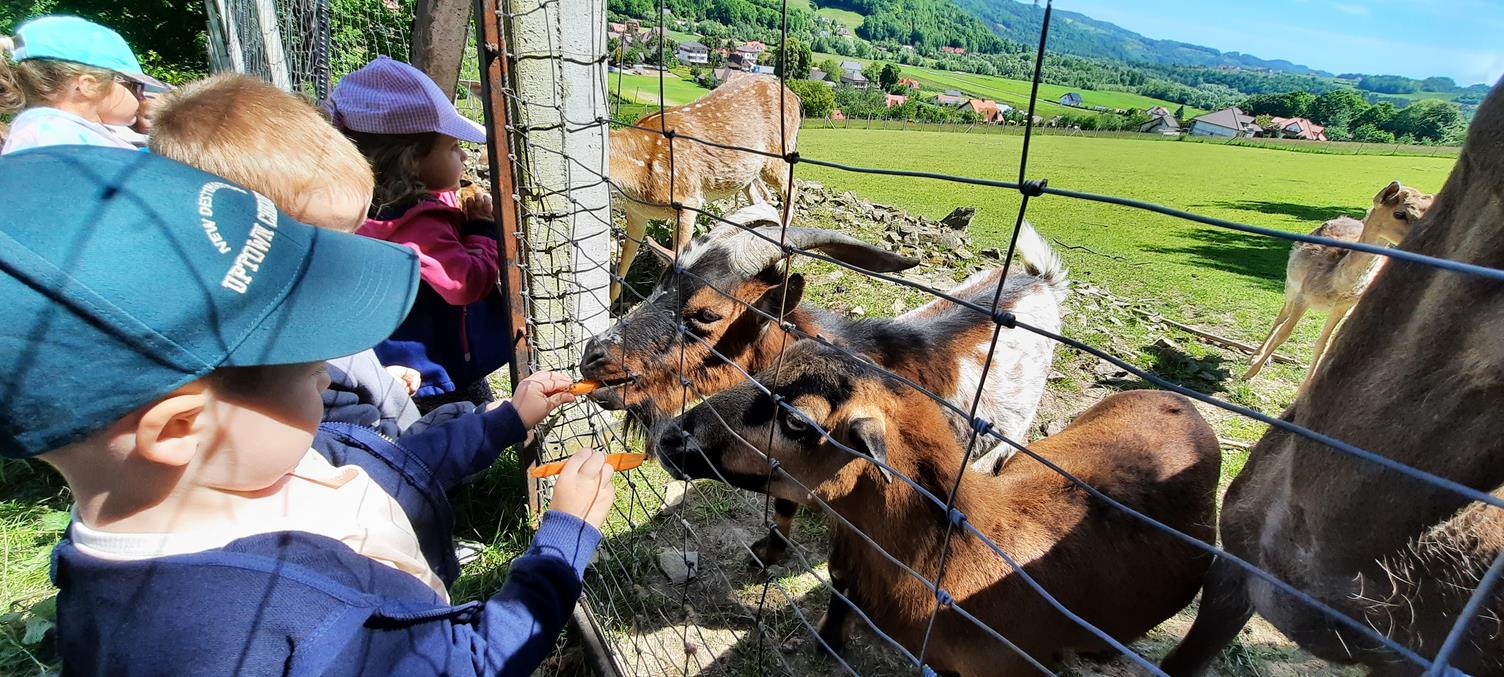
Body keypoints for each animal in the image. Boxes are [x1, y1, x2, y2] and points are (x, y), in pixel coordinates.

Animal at [580, 204, 1076, 565]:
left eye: (706, 314)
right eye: (659, 284)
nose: (593, 356)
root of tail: (1041, 280)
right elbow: (782, 507)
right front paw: (768, 552)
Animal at [607, 72, 806, 300]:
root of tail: (795, 97)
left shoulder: (687, 199)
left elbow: (679, 252)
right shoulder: (636, 212)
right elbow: (623, 264)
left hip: (778, 153)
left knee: (790, 188)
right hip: (747, 173)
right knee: (763, 196)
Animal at [1161, 80, 1504, 677]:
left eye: (1426, 208)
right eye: (1403, 210)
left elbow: (1319, 349)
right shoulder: (1234, 562)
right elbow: (1284, 332)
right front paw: (1251, 370)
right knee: (1279, 320)